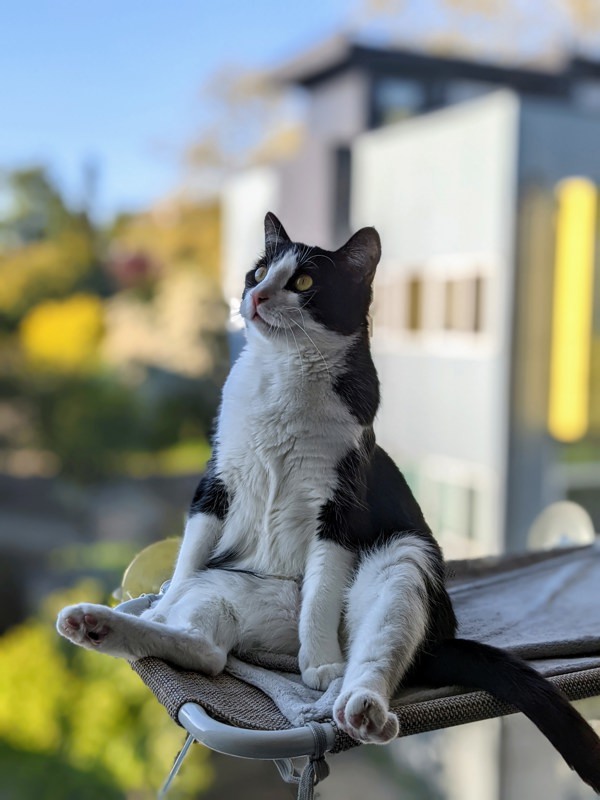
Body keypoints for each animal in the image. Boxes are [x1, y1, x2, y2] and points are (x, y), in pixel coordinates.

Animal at [58, 214, 600, 792]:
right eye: (258, 271)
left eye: (303, 282)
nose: (256, 295)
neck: (283, 376)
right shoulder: (216, 480)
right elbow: (187, 559)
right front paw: (159, 604)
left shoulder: (339, 505)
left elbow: (320, 594)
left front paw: (318, 661)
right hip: (223, 587)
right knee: (206, 652)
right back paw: (98, 625)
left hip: (400, 561)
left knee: (372, 653)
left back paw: (358, 706)